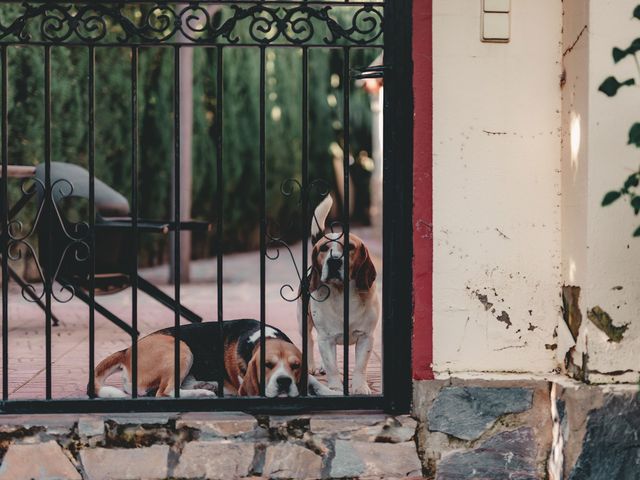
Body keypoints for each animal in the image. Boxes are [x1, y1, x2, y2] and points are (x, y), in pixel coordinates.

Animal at [95, 318, 336, 398]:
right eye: (267, 365)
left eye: (296, 366)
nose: (284, 382)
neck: (262, 337)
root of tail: (127, 351)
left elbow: (313, 380)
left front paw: (329, 391)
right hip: (181, 349)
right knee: (164, 392)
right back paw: (202, 393)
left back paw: (205, 386)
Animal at [302, 195, 380, 394]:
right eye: (323, 249)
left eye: (349, 247)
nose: (334, 261)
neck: (342, 295)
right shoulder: (326, 338)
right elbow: (333, 368)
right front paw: (336, 388)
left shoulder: (366, 337)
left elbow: (360, 366)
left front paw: (360, 387)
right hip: (304, 321)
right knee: (310, 341)